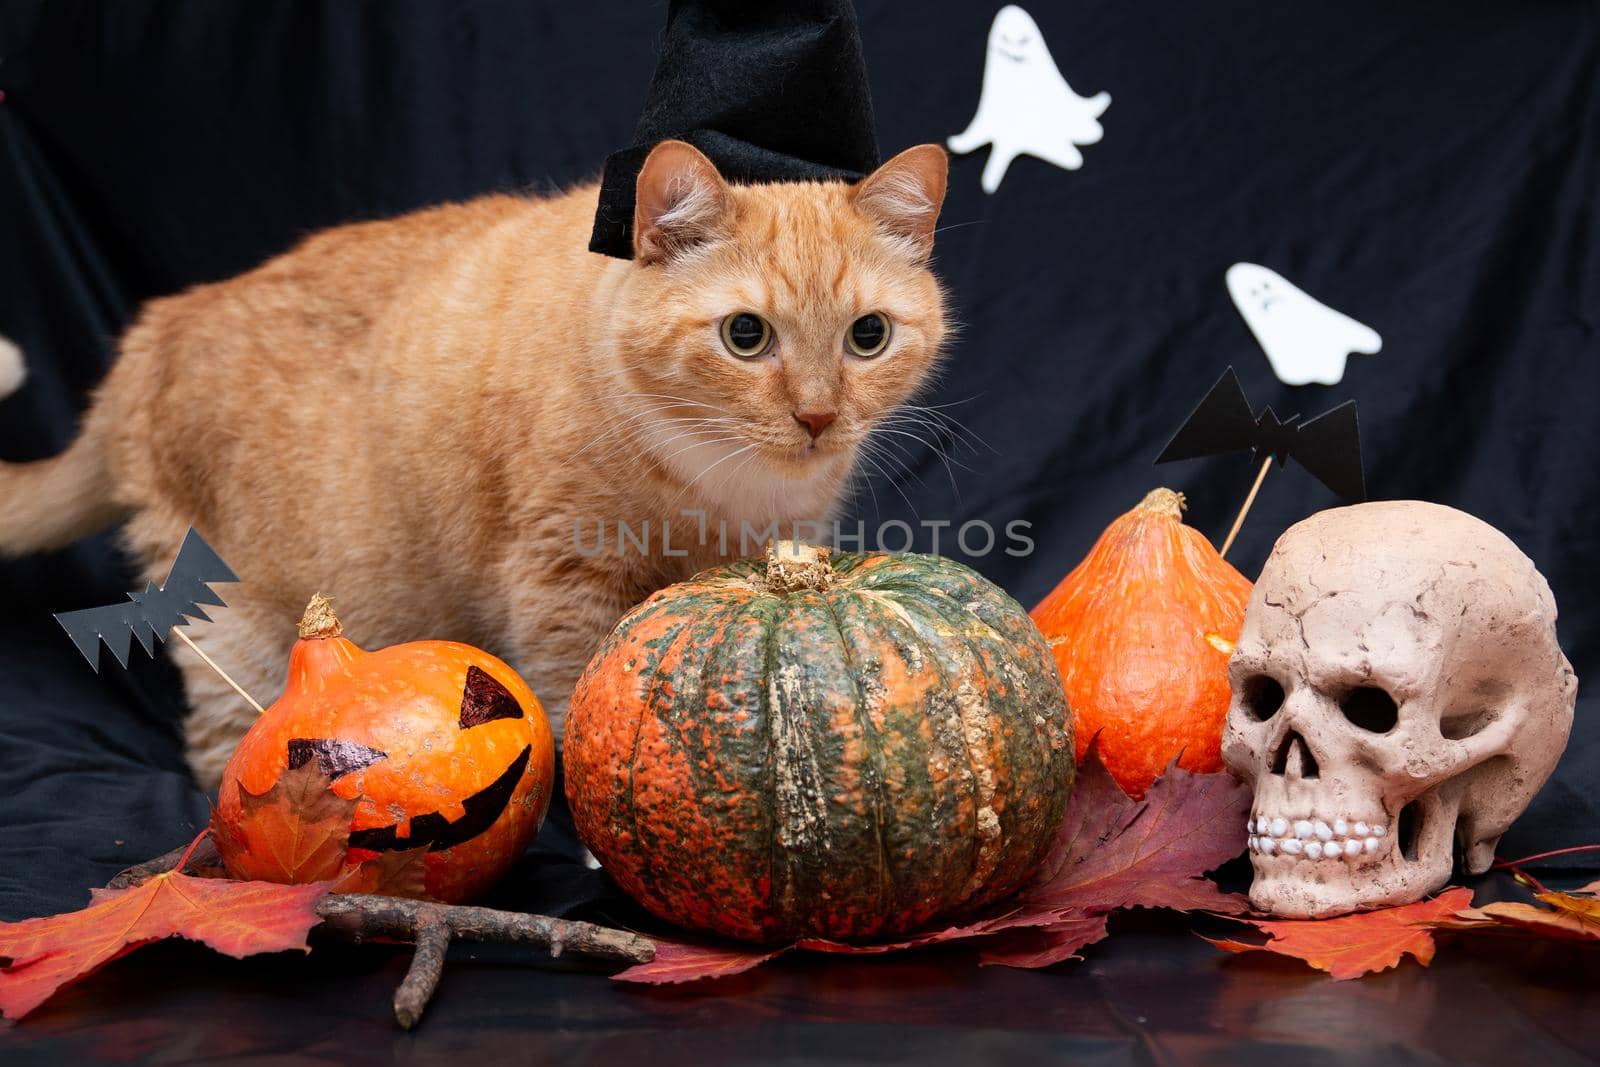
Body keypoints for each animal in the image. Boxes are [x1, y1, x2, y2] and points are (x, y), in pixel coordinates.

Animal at [0, 141, 947, 783]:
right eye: (746, 335)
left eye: (868, 336)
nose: (818, 416)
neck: (722, 485)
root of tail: (157, 326)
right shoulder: (561, 580)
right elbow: (573, 700)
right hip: (224, 619)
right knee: (219, 745)